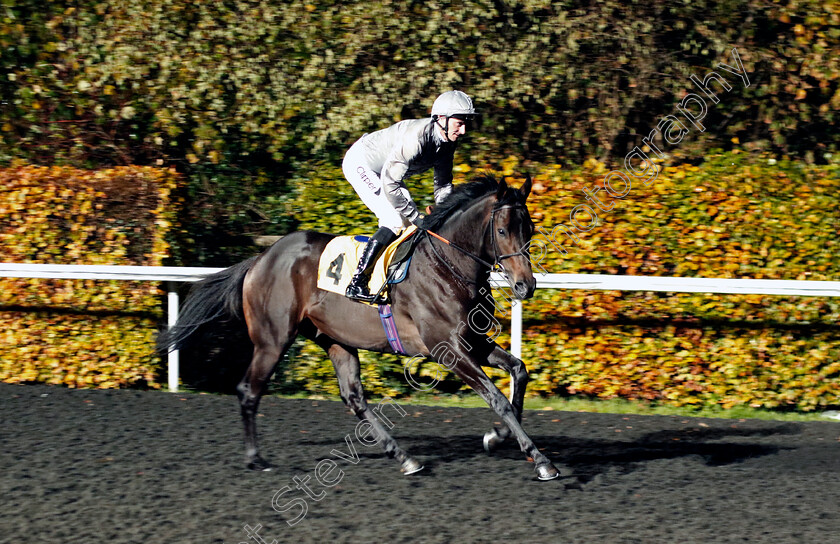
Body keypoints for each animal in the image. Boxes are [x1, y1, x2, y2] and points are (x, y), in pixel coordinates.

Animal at [158, 173, 564, 480]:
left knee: (353, 397)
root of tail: (261, 258)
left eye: (529, 228)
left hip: (335, 339)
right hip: (273, 340)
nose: (526, 286)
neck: (447, 265)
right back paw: (256, 458)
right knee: (248, 390)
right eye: (502, 229)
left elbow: (519, 372)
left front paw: (497, 438)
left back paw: (404, 457)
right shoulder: (447, 351)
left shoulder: (473, 343)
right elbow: (497, 398)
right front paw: (541, 460)